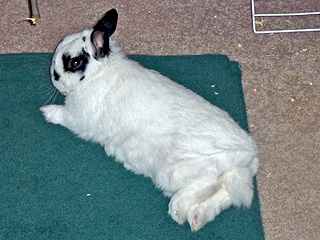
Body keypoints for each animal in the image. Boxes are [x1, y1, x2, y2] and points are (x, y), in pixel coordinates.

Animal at [40, 8, 260, 232]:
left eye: (74, 62)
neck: (100, 73)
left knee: (210, 183)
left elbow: (64, 116)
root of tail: (246, 156)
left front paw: (47, 112)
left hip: (176, 172)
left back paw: (178, 209)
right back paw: (196, 218)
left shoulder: (79, 117)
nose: (54, 75)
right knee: (226, 193)